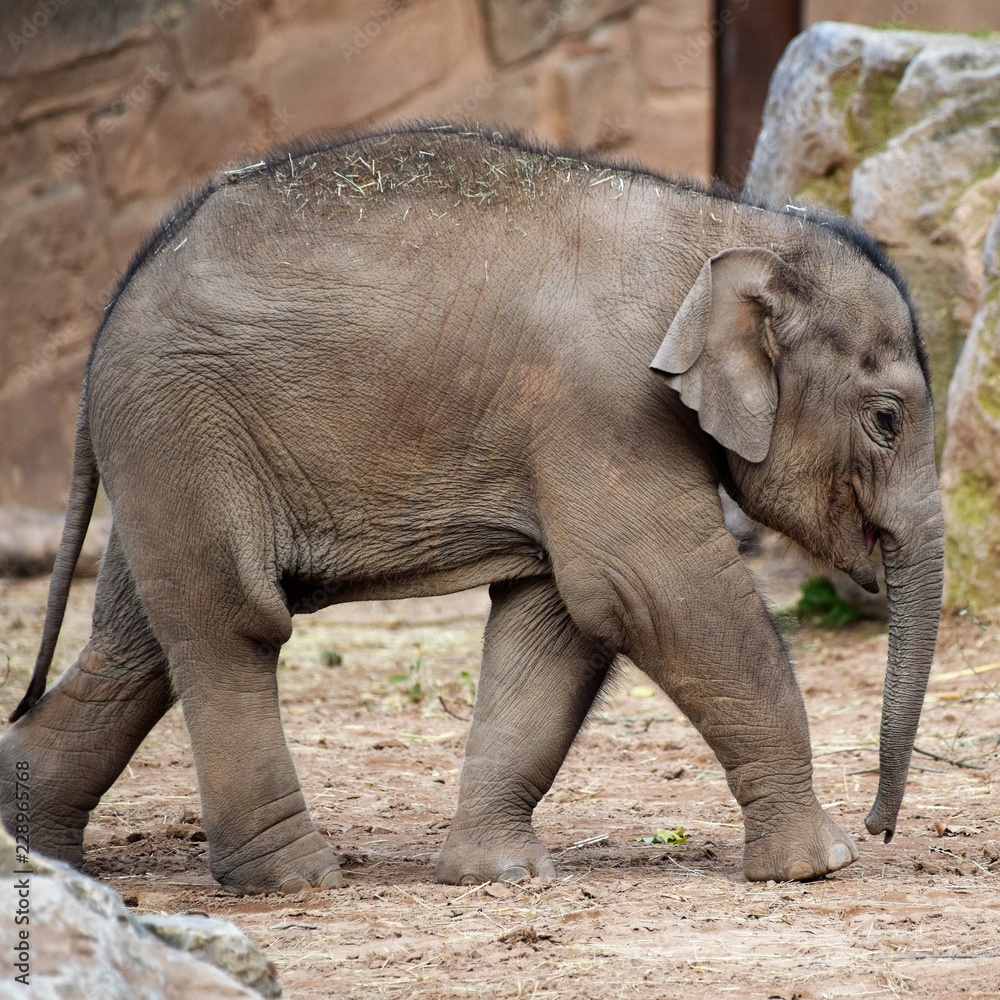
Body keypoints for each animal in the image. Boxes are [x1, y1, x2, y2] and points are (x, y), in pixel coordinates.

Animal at [0, 124, 943, 894]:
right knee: (231, 624)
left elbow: (558, 618)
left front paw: (498, 874)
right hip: (184, 425)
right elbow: (650, 591)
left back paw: (35, 852)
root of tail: (114, 306)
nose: (881, 829)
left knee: (137, 640)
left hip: (164, 451)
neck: (726, 230)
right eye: (886, 420)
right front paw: (820, 865)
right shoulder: (605, 406)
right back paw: (295, 879)